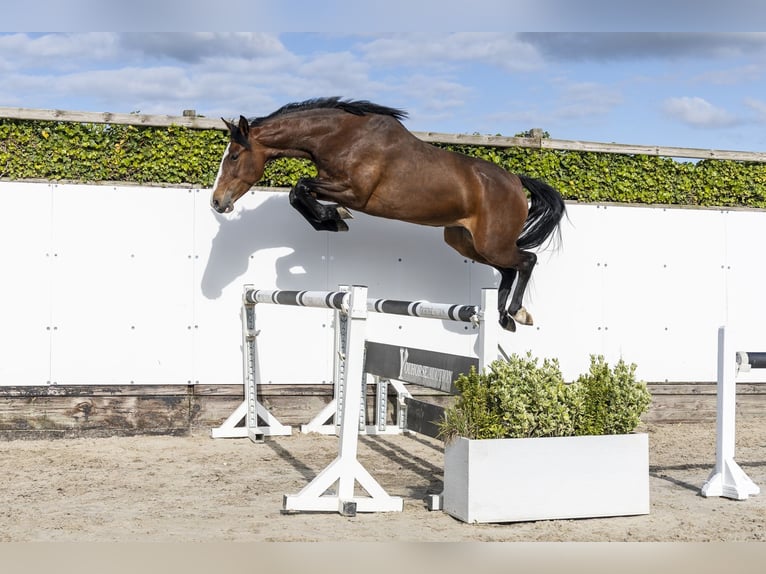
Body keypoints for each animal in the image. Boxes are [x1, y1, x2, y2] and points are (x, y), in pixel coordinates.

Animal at [210, 97, 565, 332]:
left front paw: (334, 219)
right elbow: (298, 194)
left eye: (235, 156)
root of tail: (516, 181)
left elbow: (299, 188)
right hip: (466, 242)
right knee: (507, 269)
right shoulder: (334, 185)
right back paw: (504, 316)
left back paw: (517, 313)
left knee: (526, 261)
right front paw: (331, 219)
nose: (217, 202)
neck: (340, 136)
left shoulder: (354, 192)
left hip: (491, 242)